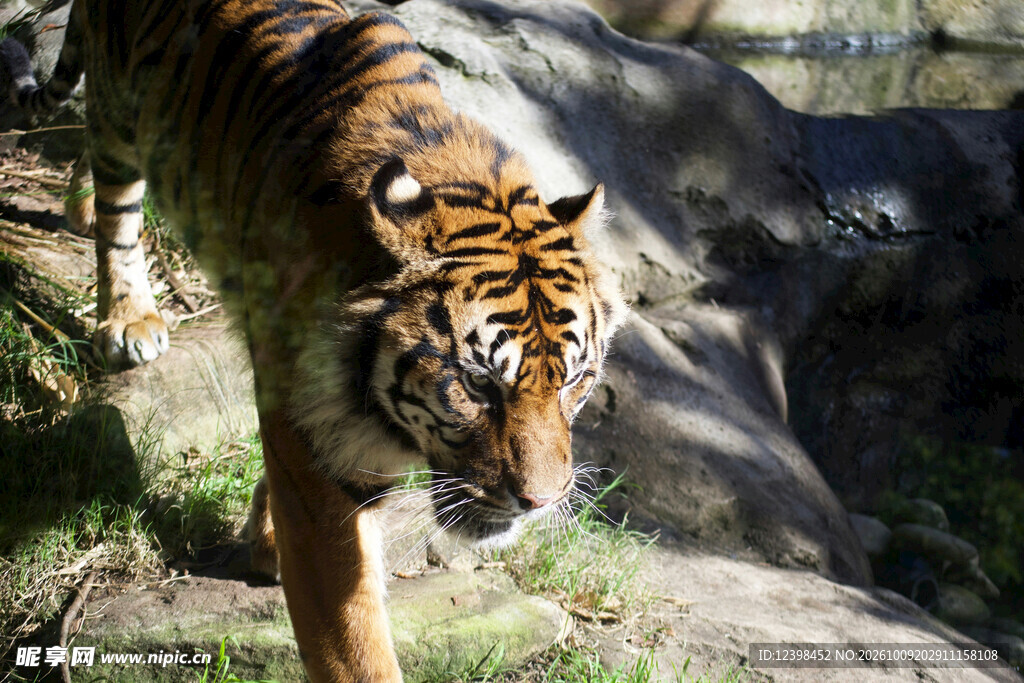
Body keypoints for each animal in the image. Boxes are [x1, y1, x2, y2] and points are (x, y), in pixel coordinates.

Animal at [1, 0, 627, 680]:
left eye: (575, 381)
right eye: (477, 384)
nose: (540, 502)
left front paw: (265, 540)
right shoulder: (322, 455)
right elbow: (353, 641)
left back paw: (82, 209)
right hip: (121, 104)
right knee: (117, 195)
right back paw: (127, 315)